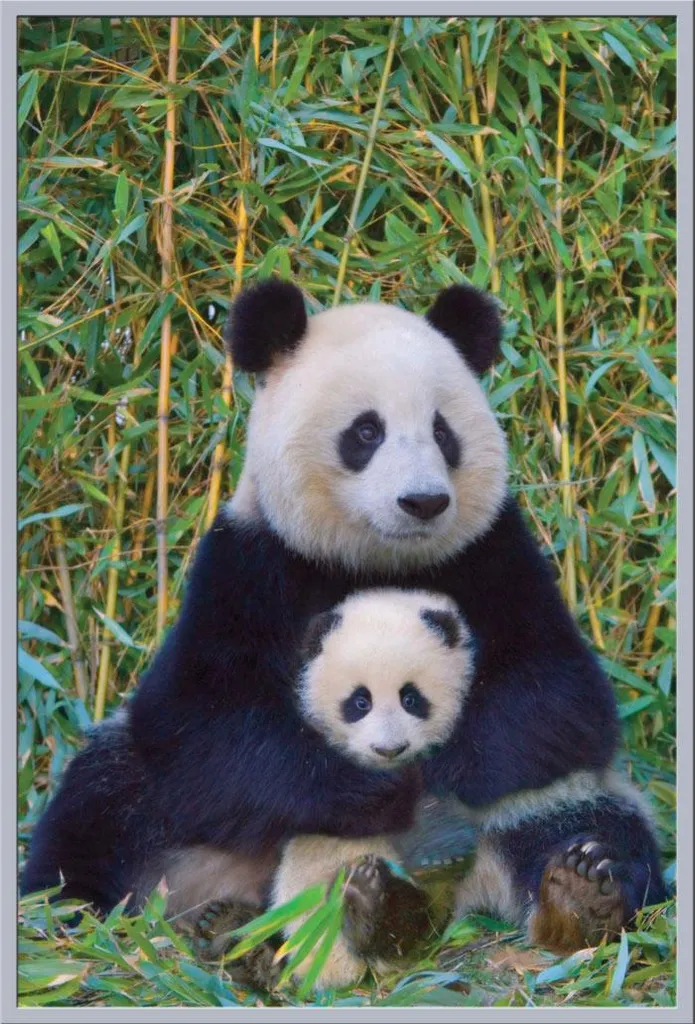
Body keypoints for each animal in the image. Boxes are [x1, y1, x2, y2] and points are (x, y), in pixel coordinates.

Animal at [192, 587, 477, 990]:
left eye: (411, 698)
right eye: (360, 701)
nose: (389, 749)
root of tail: (331, 974)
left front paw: (438, 845)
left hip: (416, 915)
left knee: (402, 926)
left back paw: (367, 903)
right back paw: (229, 932)